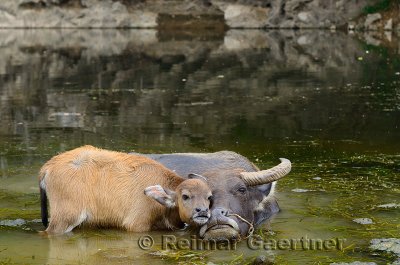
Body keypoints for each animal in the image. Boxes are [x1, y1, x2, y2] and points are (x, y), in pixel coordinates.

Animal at [39, 145, 212, 234]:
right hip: (65, 218)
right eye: (185, 196)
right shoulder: (137, 225)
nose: (202, 211)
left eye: (209, 197)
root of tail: (49, 165)